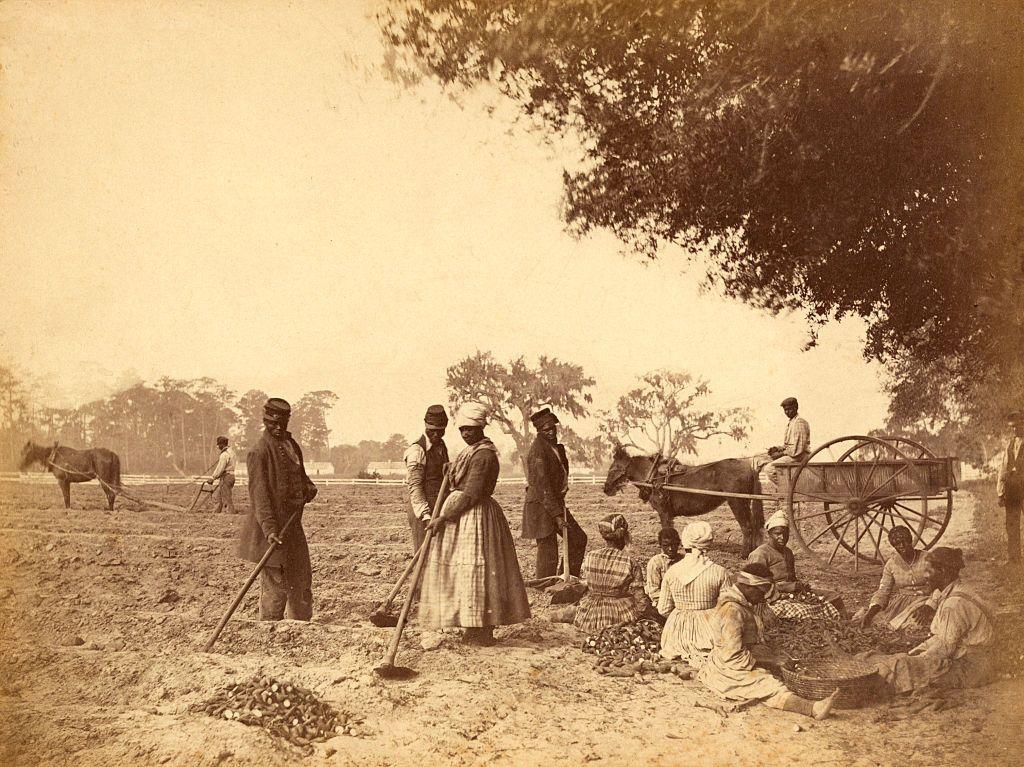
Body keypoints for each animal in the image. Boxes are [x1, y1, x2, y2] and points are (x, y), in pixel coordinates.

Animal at [602, 442, 765, 557]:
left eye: (613, 468)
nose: (606, 488)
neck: (654, 477)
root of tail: (750, 467)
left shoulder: (664, 512)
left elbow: (666, 529)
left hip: (737, 502)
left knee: (747, 527)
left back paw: (744, 554)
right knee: (754, 526)